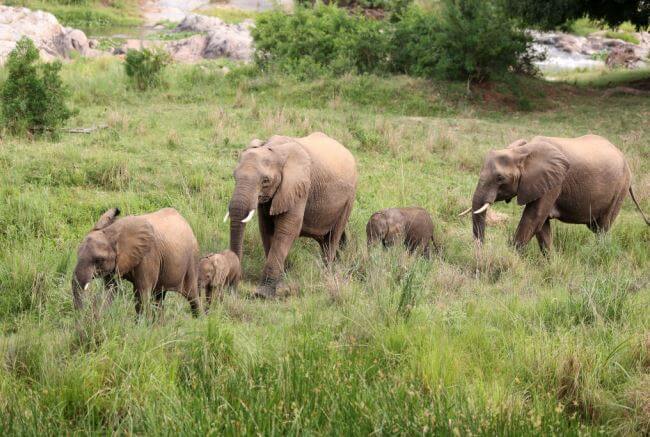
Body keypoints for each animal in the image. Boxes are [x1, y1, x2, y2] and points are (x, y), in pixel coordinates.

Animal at [72, 206, 201, 316]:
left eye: (99, 260)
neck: (112, 232)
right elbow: (110, 289)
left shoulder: (148, 256)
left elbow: (142, 292)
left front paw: (141, 326)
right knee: (159, 297)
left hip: (192, 259)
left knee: (192, 295)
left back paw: (197, 321)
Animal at [225, 131, 356, 298]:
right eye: (234, 176)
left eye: (265, 180)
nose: (233, 286)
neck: (274, 149)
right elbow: (266, 228)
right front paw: (280, 284)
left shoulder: (298, 186)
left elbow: (287, 229)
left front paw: (263, 294)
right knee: (327, 239)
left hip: (349, 199)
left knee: (333, 237)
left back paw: (327, 275)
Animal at [460, 135, 648, 254]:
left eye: (500, 178)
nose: (481, 252)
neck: (522, 152)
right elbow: (541, 225)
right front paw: (550, 263)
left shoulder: (554, 182)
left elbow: (533, 218)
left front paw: (511, 256)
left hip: (620, 188)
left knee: (603, 227)